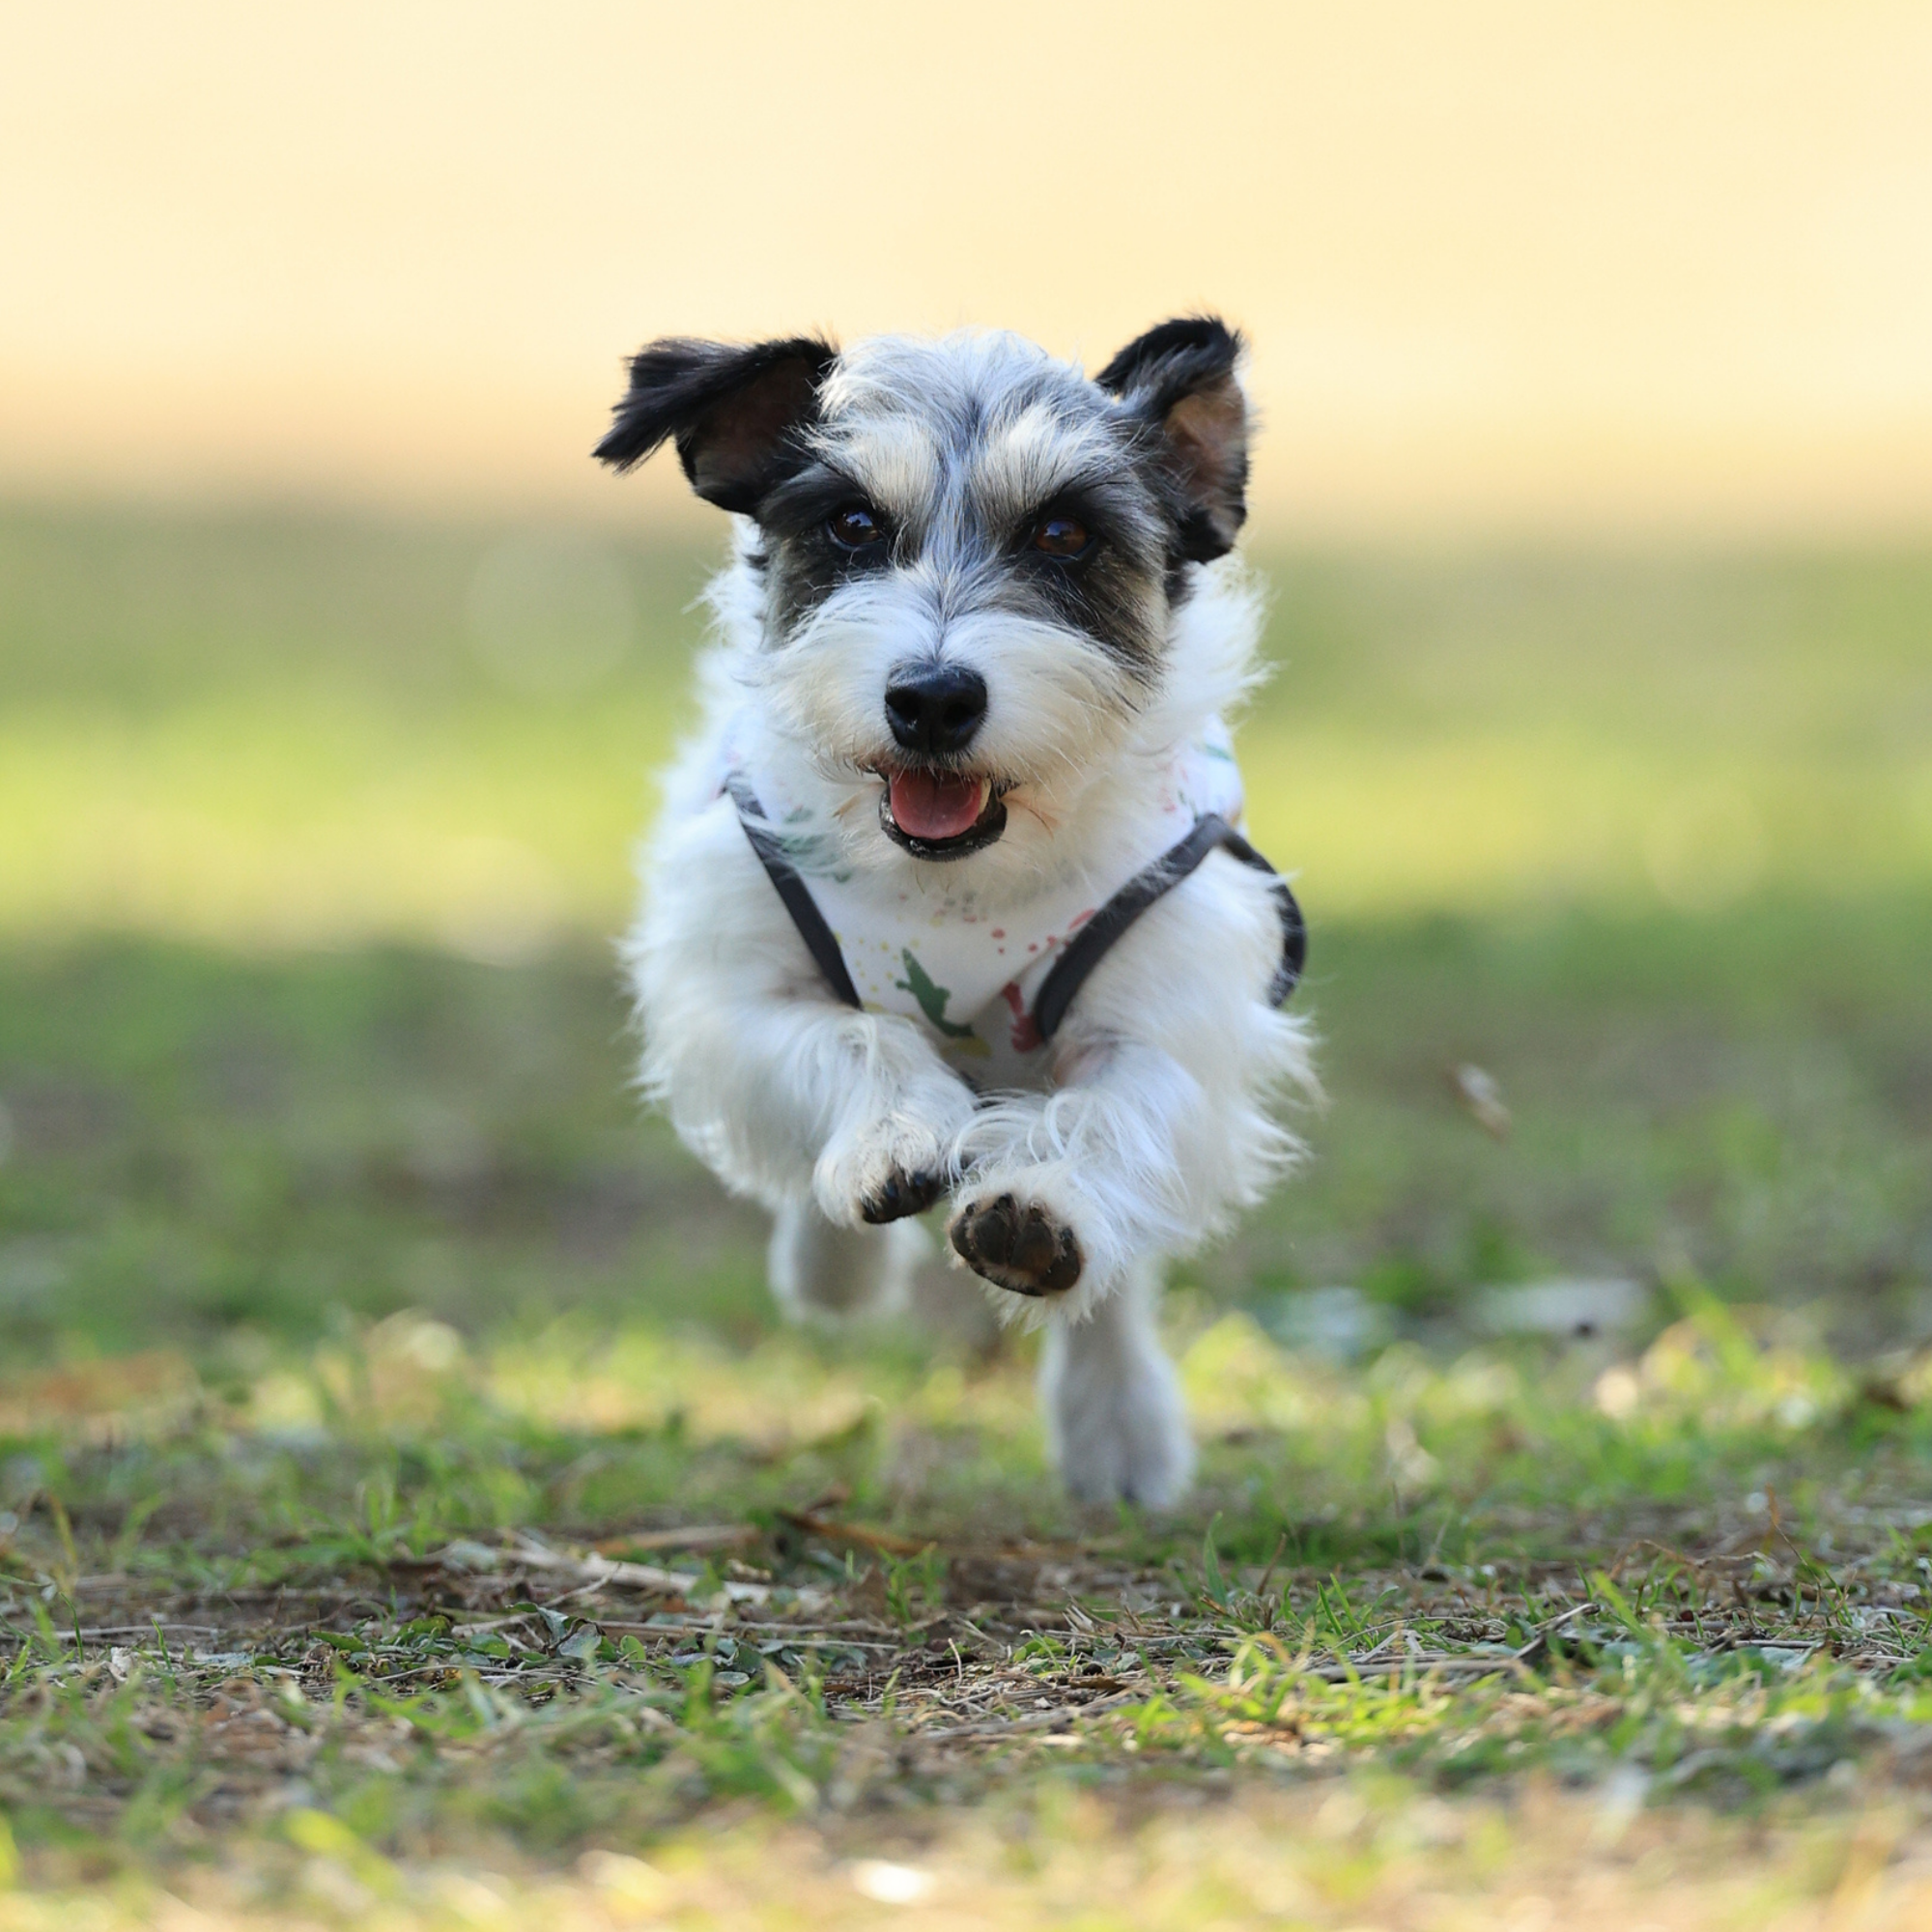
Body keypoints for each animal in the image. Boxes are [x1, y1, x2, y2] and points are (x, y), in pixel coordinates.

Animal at [591, 317, 1314, 1499]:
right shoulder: (736, 993)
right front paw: (888, 1146)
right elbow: (855, 1036)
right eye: (851, 525)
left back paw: (1117, 1425)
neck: (960, 884)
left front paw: (1041, 1208)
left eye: (1064, 534)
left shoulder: (1165, 1022)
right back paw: (832, 1265)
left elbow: (1109, 1115)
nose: (931, 698)